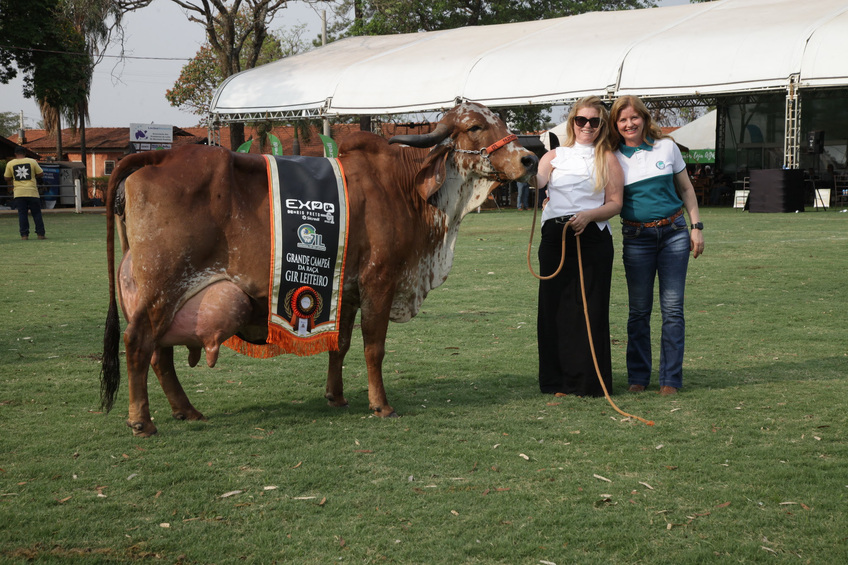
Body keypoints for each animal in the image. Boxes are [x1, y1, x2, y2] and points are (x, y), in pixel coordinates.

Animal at [99, 102, 536, 436]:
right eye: (476, 126)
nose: (530, 159)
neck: (407, 187)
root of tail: (159, 154)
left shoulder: (346, 291)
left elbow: (339, 343)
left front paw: (336, 396)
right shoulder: (380, 280)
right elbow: (374, 347)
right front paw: (381, 404)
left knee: (159, 353)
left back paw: (186, 410)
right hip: (163, 284)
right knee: (139, 343)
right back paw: (142, 421)